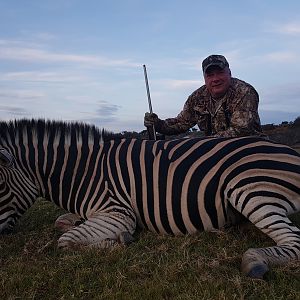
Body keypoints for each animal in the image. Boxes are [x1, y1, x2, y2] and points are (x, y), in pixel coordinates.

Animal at [0, 119, 298, 278]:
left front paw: (119, 242)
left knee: (293, 241)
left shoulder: (117, 213)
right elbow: (62, 224)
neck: (84, 173)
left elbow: (65, 241)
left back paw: (254, 261)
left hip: (249, 191)